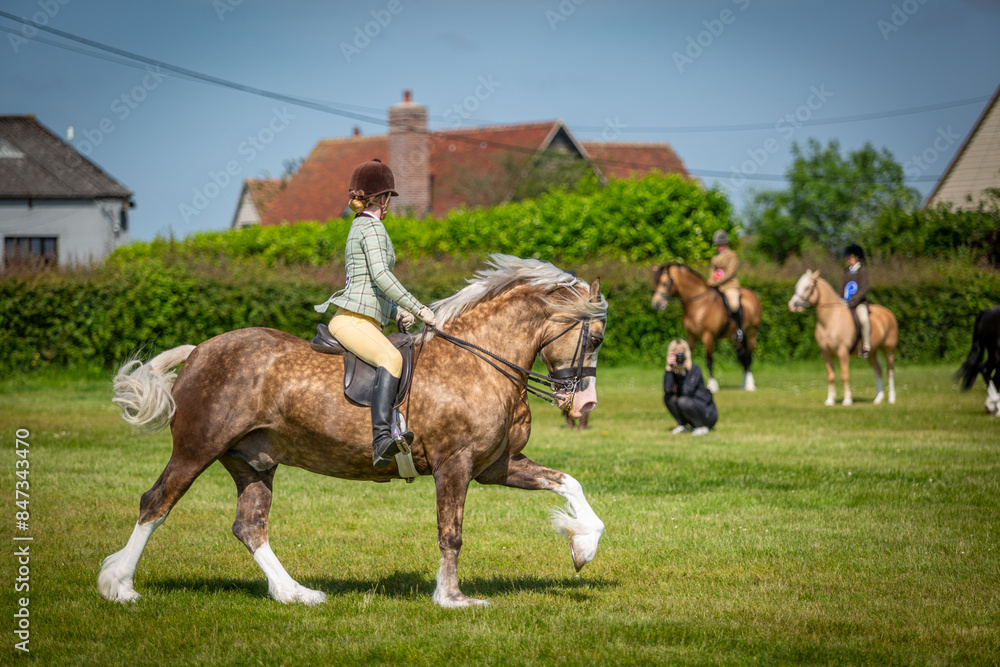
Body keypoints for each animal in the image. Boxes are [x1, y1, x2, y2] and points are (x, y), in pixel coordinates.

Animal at [98, 255, 608, 609]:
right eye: (597, 338)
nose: (584, 404)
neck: (480, 358)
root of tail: (199, 351)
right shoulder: (455, 464)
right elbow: (451, 533)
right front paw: (453, 599)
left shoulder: (495, 465)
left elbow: (570, 482)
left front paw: (582, 544)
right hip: (196, 449)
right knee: (156, 503)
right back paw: (119, 585)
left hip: (253, 461)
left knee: (249, 526)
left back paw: (297, 594)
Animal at [651, 263, 762, 392]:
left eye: (664, 283)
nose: (656, 304)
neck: (699, 304)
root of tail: (753, 295)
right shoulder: (691, 336)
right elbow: (688, 355)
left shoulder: (708, 336)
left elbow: (709, 360)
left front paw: (712, 385)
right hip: (736, 340)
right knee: (743, 357)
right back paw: (744, 384)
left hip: (751, 333)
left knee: (748, 357)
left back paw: (749, 385)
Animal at [788, 270, 898, 406]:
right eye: (796, 286)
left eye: (807, 287)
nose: (792, 305)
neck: (830, 320)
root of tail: (888, 313)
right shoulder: (826, 354)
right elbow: (831, 376)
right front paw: (830, 400)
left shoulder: (843, 352)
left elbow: (844, 375)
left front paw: (847, 400)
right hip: (871, 353)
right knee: (878, 371)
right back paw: (878, 399)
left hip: (889, 350)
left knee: (890, 371)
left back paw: (892, 398)